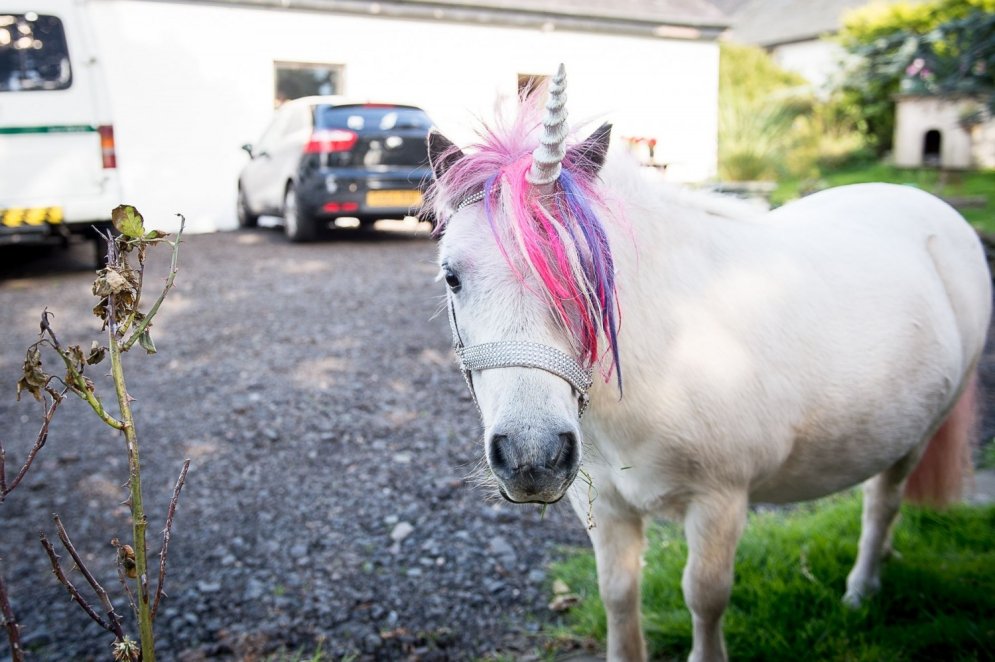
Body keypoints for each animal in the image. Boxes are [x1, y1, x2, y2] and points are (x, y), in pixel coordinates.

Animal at [424, 65, 992, 660]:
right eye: (451, 276)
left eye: (591, 272)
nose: (532, 458)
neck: (668, 351)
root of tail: (933, 208)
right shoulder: (603, 504)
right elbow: (618, 592)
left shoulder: (720, 501)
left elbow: (705, 595)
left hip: (918, 434)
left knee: (883, 503)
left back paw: (861, 589)